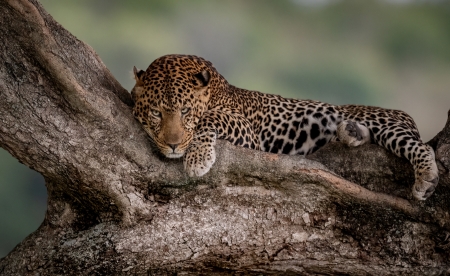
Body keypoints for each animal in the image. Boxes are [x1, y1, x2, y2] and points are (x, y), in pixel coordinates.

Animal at [131, 54, 440, 201]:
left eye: (185, 111)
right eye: (157, 113)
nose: (173, 145)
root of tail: (404, 114)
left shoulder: (248, 134)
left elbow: (210, 118)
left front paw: (197, 158)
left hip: (386, 122)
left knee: (419, 145)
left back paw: (426, 179)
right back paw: (351, 132)